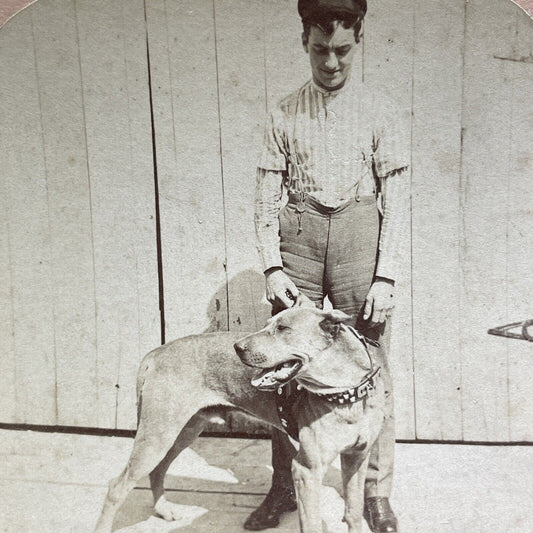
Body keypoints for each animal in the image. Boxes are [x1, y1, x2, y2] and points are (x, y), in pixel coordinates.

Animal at [94, 306, 382, 532]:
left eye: (283, 328)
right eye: (267, 325)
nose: (237, 347)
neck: (346, 394)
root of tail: (156, 353)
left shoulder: (357, 458)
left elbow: (354, 511)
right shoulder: (307, 470)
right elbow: (311, 523)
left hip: (183, 432)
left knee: (158, 469)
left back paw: (164, 510)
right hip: (157, 435)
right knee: (116, 487)